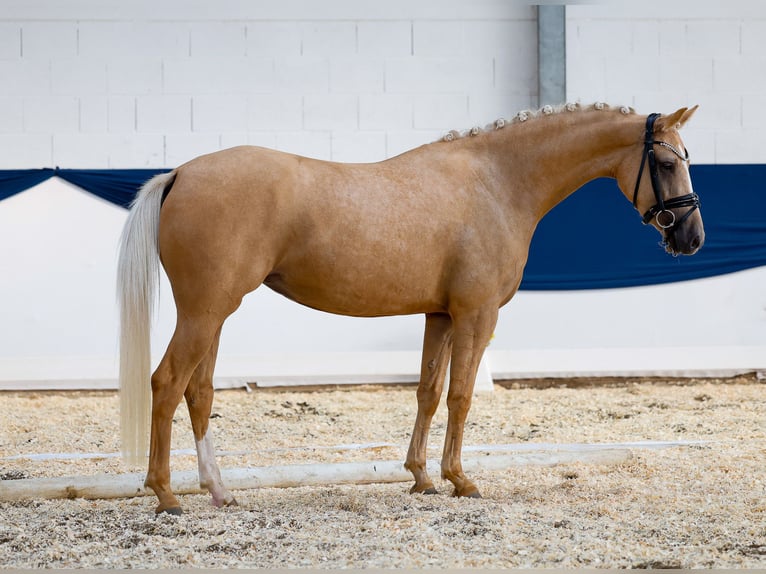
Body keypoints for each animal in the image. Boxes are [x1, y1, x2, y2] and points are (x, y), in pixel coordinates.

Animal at [118, 103, 704, 516]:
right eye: (666, 162)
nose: (692, 238)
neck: (497, 181)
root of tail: (179, 175)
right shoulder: (476, 315)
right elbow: (461, 396)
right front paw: (461, 480)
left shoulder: (439, 316)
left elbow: (427, 392)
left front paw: (421, 477)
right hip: (204, 313)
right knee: (167, 383)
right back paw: (166, 495)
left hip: (215, 314)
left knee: (198, 392)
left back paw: (218, 491)